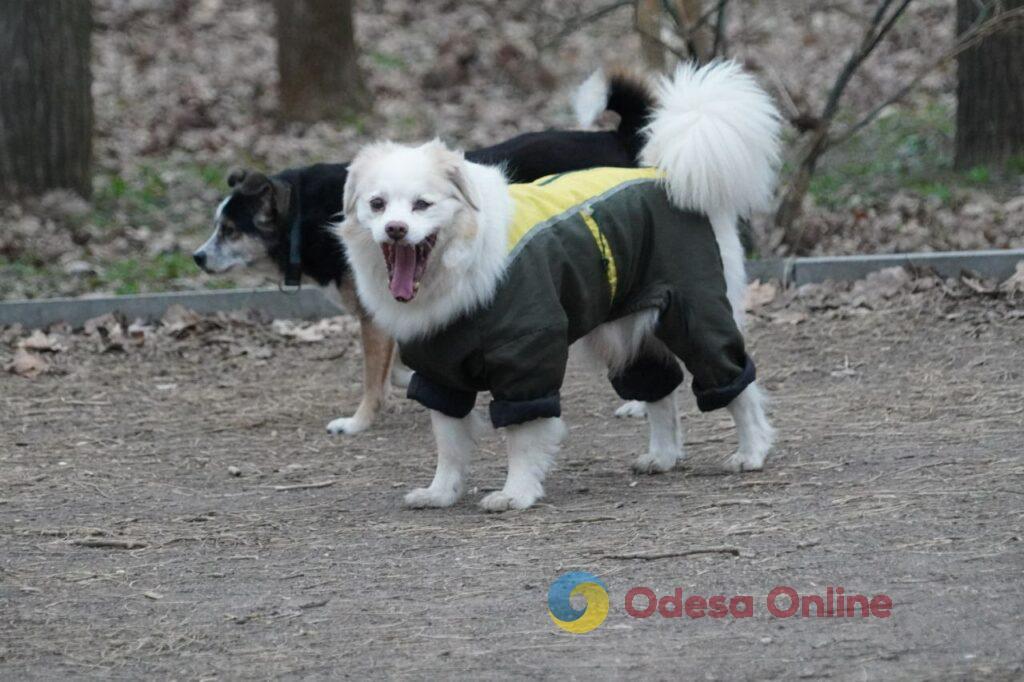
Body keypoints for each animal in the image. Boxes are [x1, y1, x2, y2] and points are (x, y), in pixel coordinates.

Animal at [194, 71, 651, 432]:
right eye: (218, 226)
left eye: (229, 230)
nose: (197, 257)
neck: (304, 215)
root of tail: (618, 138)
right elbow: (396, 368)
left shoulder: (373, 318)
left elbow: (371, 377)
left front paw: (358, 421)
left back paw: (637, 403)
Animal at [339, 62, 778, 509]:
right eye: (377, 204)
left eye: (422, 205)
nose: (395, 229)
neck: (461, 264)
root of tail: (665, 174)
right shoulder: (440, 371)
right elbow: (448, 442)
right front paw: (440, 492)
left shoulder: (526, 361)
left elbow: (522, 437)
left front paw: (516, 493)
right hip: (624, 335)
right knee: (660, 390)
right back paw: (662, 456)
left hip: (694, 320)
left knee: (736, 383)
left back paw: (752, 451)